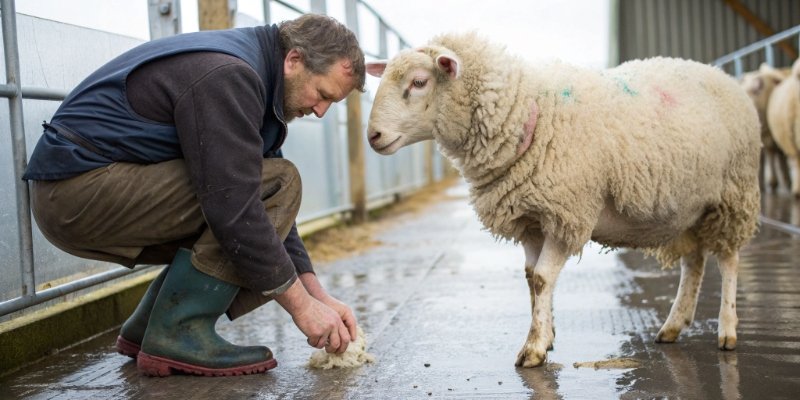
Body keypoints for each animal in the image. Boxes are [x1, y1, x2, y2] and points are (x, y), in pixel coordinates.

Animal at [365, 32, 761, 368]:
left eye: (418, 82)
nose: (373, 136)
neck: (524, 111)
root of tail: (722, 75)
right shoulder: (529, 217)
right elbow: (531, 278)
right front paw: (547, 333)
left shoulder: (566, 212)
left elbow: (542, 279)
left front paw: (534, 349)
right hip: (688, 207)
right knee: (693, 262)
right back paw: (673, 325)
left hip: (731, 196)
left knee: (728, 261)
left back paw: (727, 329)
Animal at [740, 63, 792, 192]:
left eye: (759, 88)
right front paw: (761, 185)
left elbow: (781, 158)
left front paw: (787, 181)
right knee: (770, 155)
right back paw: (773, 182)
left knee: (774, 155)